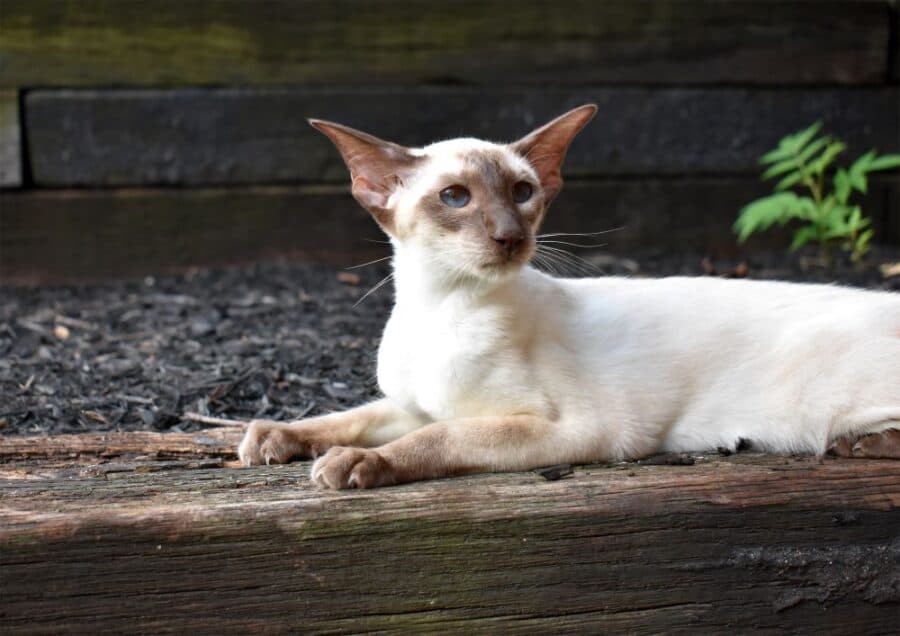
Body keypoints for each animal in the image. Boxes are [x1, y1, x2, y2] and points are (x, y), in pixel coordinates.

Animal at [237, 107, 900, 490]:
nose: (510, 235)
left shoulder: (566, 428)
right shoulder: (419, 404)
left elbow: (437, 440)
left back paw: (856, 445)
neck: (441, 306)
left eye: (523, 192)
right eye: (455, 197)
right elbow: (353, 416)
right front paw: (273, 437)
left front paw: (350, 464)